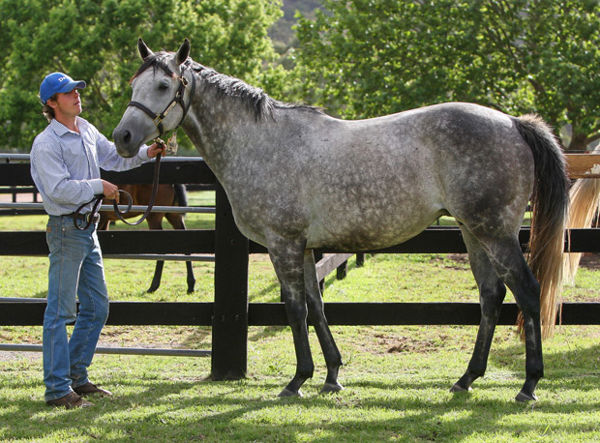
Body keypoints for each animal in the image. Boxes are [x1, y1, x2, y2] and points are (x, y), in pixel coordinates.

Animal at [112, 40, 568, 402]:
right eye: (134, 85)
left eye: (164, 85)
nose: (123, 138)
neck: (260, 143)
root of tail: (513, 122)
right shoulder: (305, 247)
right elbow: (316, 306)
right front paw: (331, 374)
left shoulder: (283, 243)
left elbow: (294, 308)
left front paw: (297, 380)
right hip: (474, 233)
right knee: (491, 297)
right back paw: (466, 378)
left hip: (496, 233)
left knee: (527, 292)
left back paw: (528, 386)